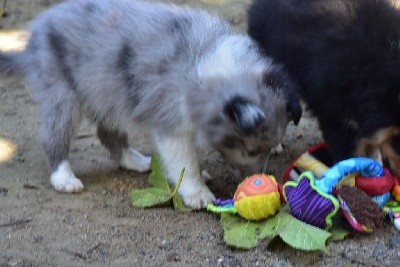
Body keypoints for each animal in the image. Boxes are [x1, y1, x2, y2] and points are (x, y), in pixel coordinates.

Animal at [0, 0, 300, 209]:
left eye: (264, 150)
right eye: (249, 149)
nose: (254, 178)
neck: (202, 66)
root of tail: (35, 35)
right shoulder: (172, 126)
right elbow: (185, 161)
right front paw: (197, 192)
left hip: (111, 96)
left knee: (107, 134)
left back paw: (136, 161)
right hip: (63, 95)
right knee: (54, 137)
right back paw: (63, 178)